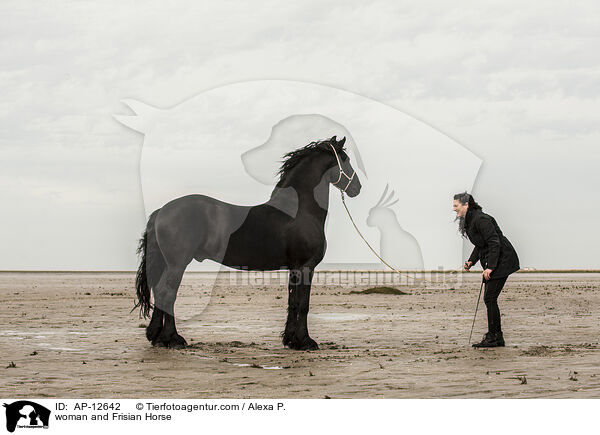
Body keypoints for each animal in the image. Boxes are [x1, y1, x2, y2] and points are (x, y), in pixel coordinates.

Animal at [135, 136, 360, 350]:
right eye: (345, 159)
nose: (357, 187)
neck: (299, 210)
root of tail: (162, 211)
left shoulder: (294, 269)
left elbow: (293, 303)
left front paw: (291, 341)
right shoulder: (306, 267)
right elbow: (303, 304)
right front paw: (306, 342)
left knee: (159, 292)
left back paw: (157, 337)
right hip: (178, 263)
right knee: (167, 294)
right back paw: (173, 339)